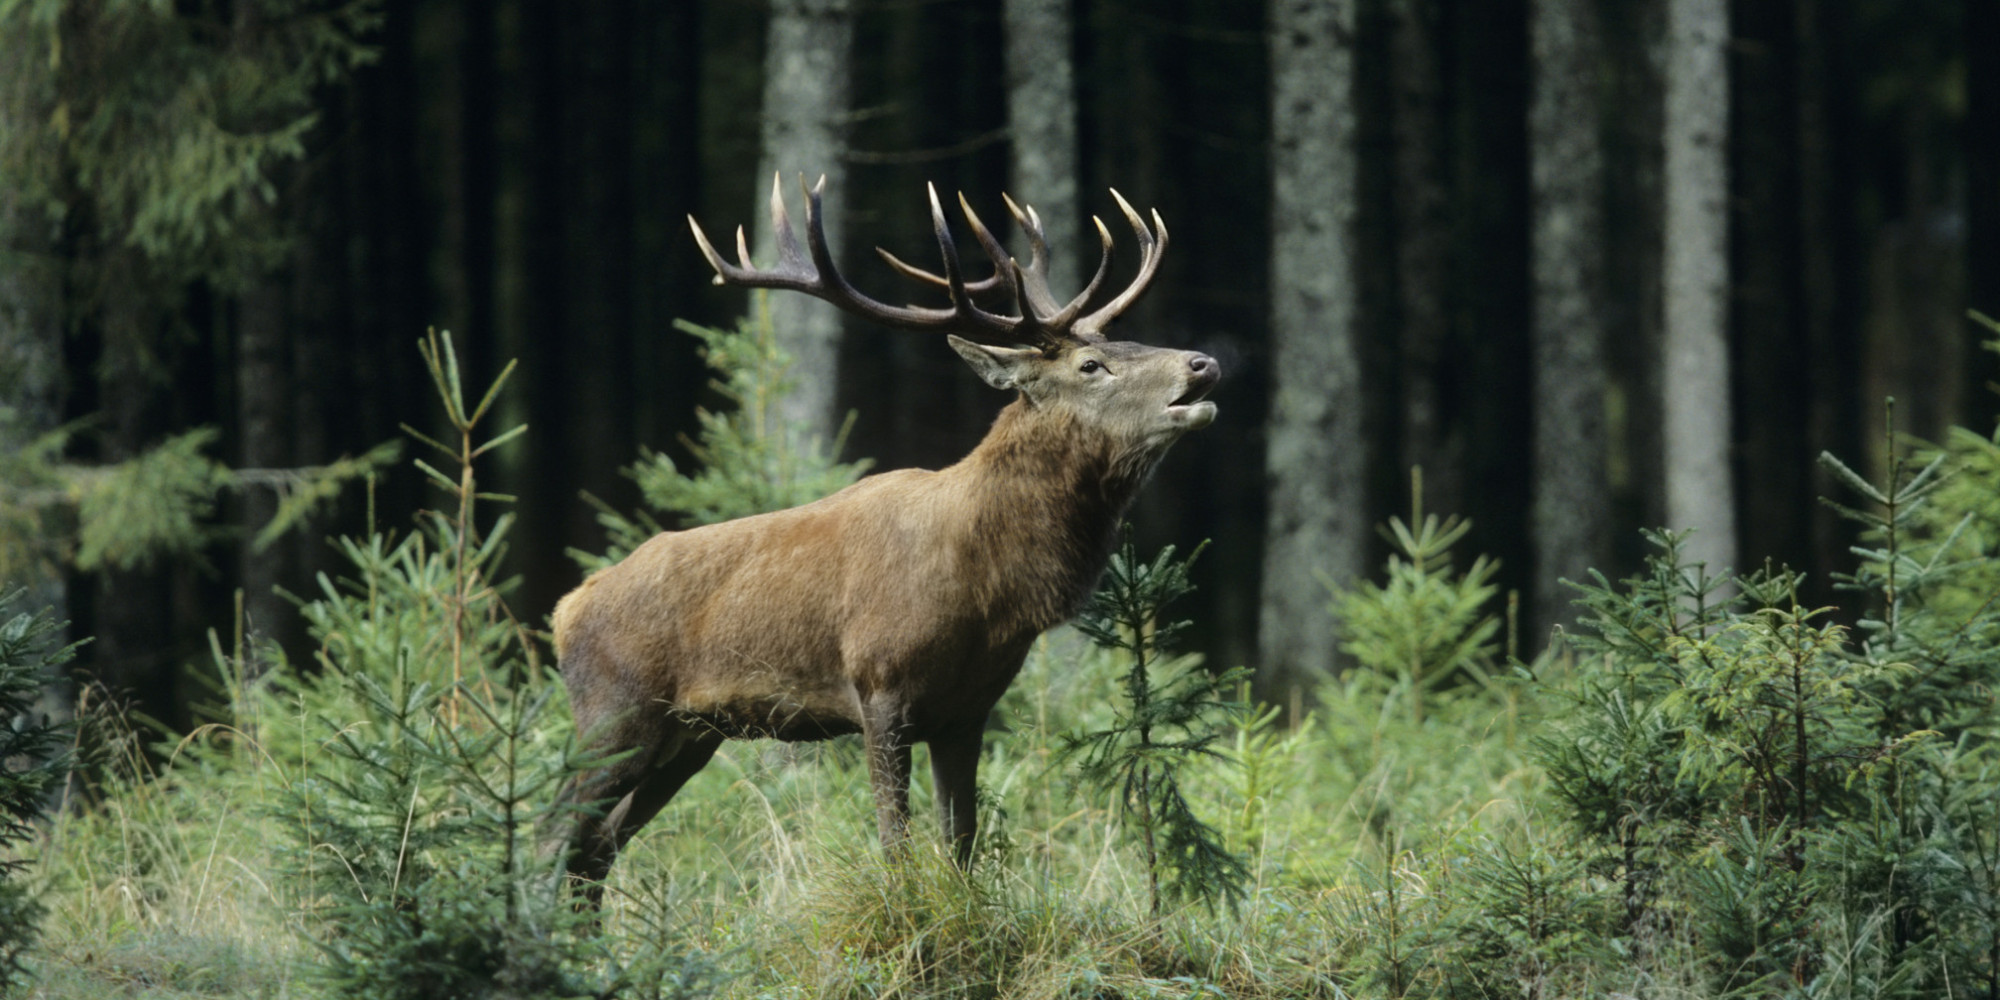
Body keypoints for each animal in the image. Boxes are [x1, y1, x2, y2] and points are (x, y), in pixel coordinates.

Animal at [554, 174, 1219, 900]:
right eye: (1092, 365)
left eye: (1132, 343)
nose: (1203, 362)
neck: (987, 594)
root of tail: (567, 609)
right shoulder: (880, 685)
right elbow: (895, 844)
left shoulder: (967, 712)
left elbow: (960, 845)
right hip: (614, 710)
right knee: (555, 830)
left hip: (689, 736)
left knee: (598, 846)